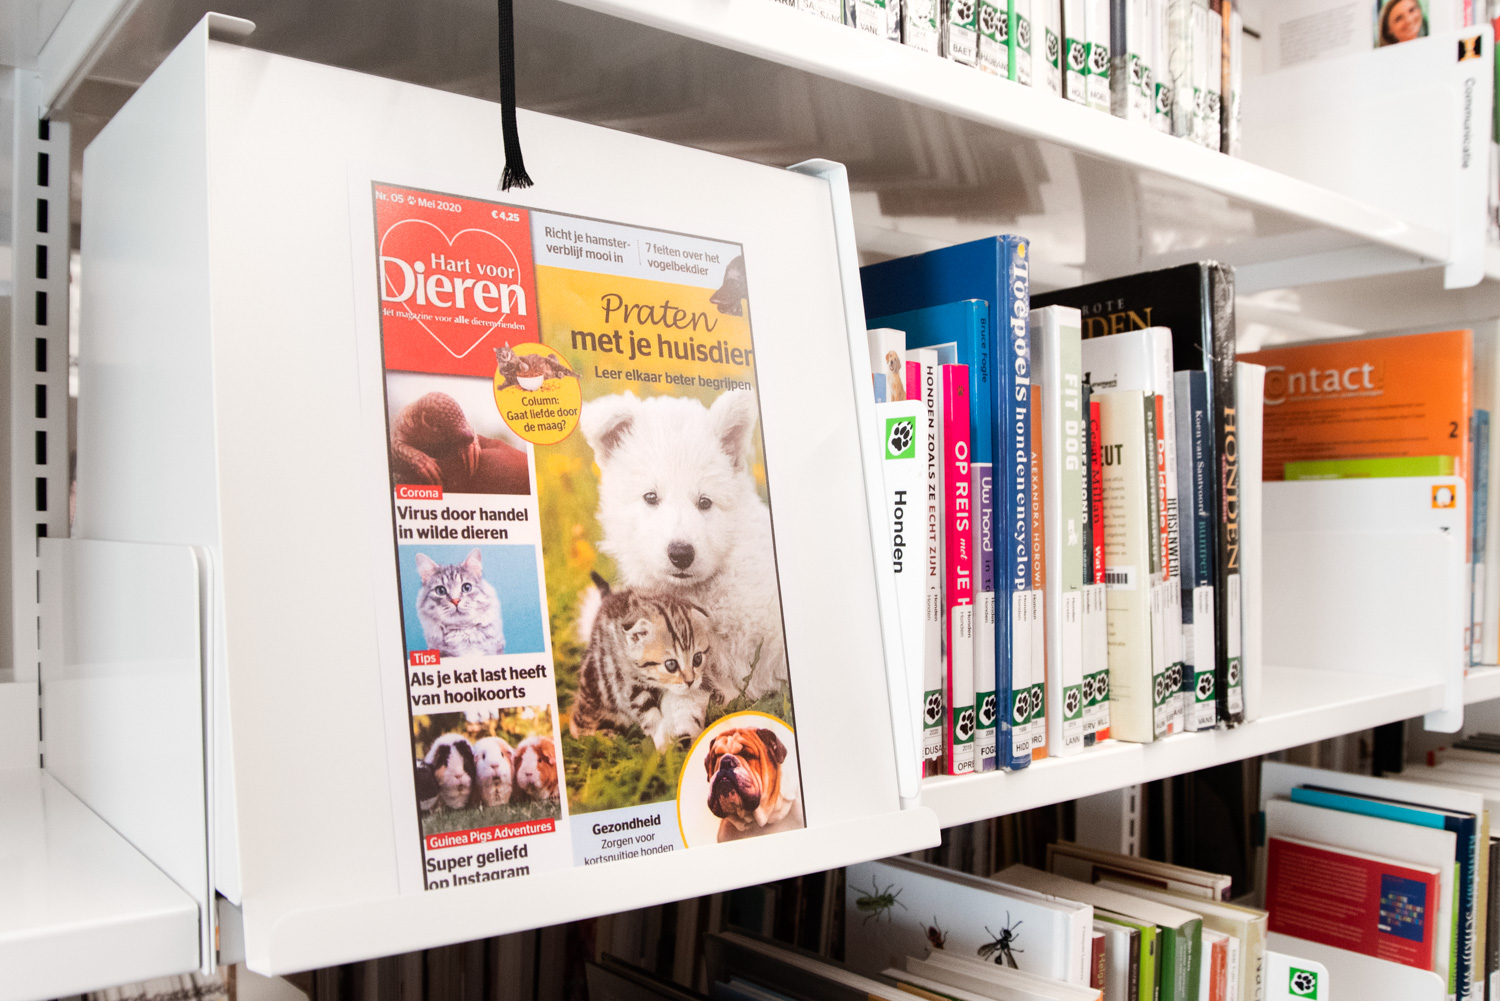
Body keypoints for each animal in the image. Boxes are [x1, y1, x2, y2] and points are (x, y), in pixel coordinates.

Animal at [570, 571, 713, 751]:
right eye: (671, 664)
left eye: (697, 658)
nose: (690, 681)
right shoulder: (629, 684)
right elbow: (648, 713)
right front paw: (663, 744)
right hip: (597, 687)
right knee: (579, 718)